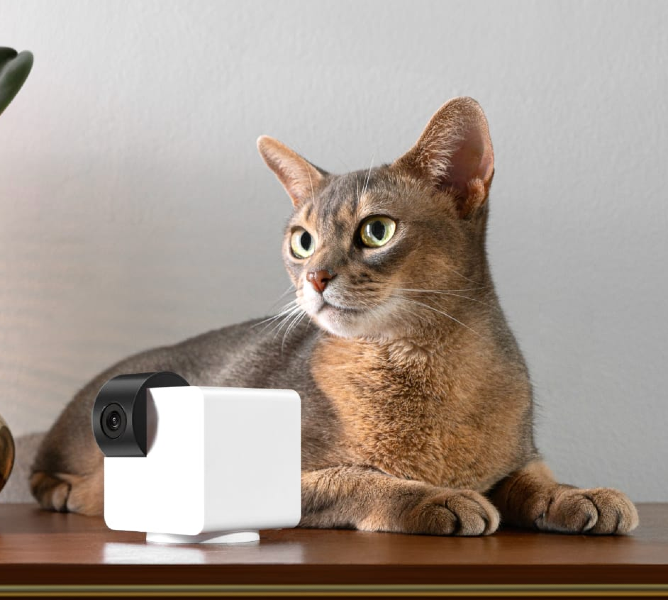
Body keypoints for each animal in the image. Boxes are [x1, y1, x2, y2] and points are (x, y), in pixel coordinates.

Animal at [30, 97, 636, 536]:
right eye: (303, 241)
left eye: (377, 230)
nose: (315, 277)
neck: (427, 363)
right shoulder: (287, 475)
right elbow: (359, 478)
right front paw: (436, 497)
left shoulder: (518, 455)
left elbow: (535, 479)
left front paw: (578, 494)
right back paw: (73, 491)